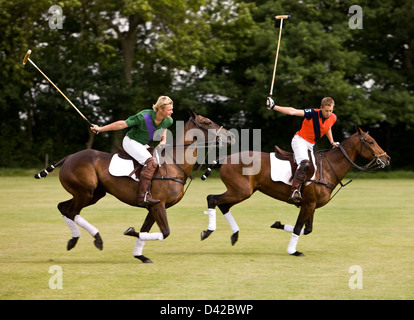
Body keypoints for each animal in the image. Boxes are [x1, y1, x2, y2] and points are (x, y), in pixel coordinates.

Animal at [34, 110, 234, 262]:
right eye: (207, 122)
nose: (231, 135)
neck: (175, 164)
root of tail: (69, 157)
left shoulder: (153, 207)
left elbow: (146, 230)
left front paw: (140, 255)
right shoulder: (158, 205)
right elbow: (165, 232)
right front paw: (130, 232)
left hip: (93, 194)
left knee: (63, 207)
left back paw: (73, 240)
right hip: (85, 192)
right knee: (71, 211)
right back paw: (97, 239)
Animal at [201, 126, 392, 256]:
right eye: (370, 142)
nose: (387, 159)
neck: (328, 168)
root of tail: (225, 158)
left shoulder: (311, 205)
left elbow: (307, 229)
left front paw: (277, 224)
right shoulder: (308, 203)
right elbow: (299, 227)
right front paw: (293, 251)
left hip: (243, 191)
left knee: (223, 205)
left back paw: (234, 235)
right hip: (241, 191)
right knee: (212, 198)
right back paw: (207, 231)